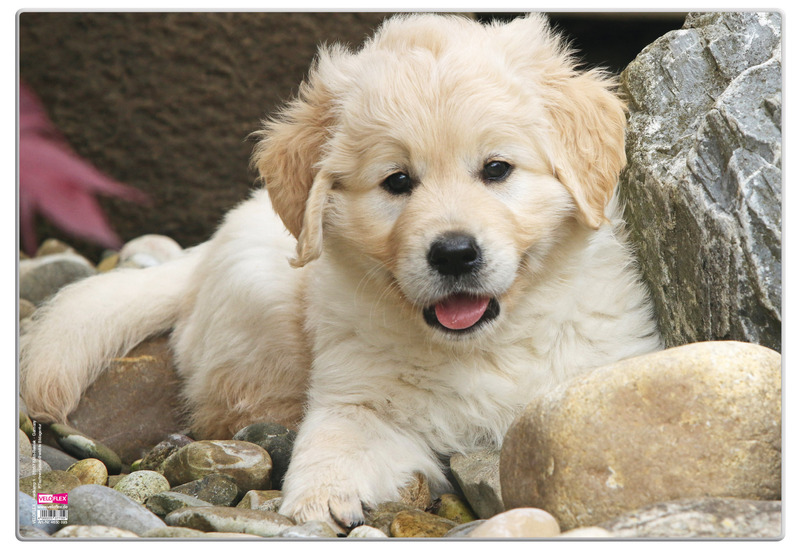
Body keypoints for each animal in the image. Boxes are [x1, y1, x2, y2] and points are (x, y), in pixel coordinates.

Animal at [21, 14, 664, 528]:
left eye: (497, 169)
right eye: (397, 181)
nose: (455, 253)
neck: (481, 347)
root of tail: (198, 255)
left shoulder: (597, 368)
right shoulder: (358, 395)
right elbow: (335, 441)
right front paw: (317, 502)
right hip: (260, 305)